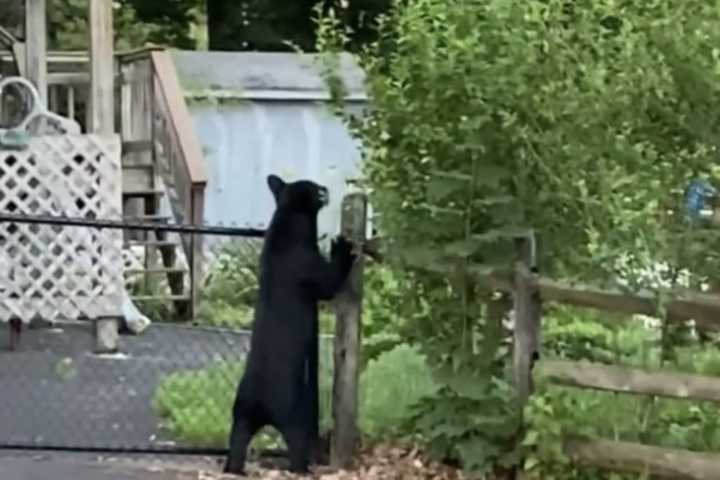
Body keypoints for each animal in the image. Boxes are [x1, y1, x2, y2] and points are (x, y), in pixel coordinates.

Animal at [224, 174, 356, 474]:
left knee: (237, 442)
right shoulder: (311, 268)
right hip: (294, 417)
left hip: (241, 415)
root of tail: (260, 403)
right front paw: (342, 246)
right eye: (315, 187)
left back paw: (234, 469)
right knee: (297, 444)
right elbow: (330, 281)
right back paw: (303, 470)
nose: (325, 188)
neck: (289, 215)